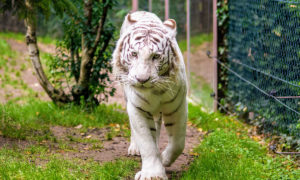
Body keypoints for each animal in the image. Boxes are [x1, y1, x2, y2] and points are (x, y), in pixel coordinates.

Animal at [112, 11, 188, 180]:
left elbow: (178, 142)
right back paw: (135, 148)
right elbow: (147, 142)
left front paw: (164, 159)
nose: (142, 79)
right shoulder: (137, 108)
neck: (156, 91)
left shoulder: (178, 107)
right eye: (134, 54)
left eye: (156, 56)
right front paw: (153, 174)